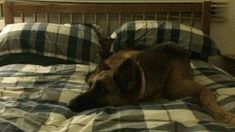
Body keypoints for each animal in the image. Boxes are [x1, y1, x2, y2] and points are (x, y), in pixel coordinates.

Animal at [69, 42, 235, 126]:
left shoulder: (201, 89)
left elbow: (207, 99)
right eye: (91, 86)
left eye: (102, 89)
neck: (143, 76)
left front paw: (224, 115)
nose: (69, 104)